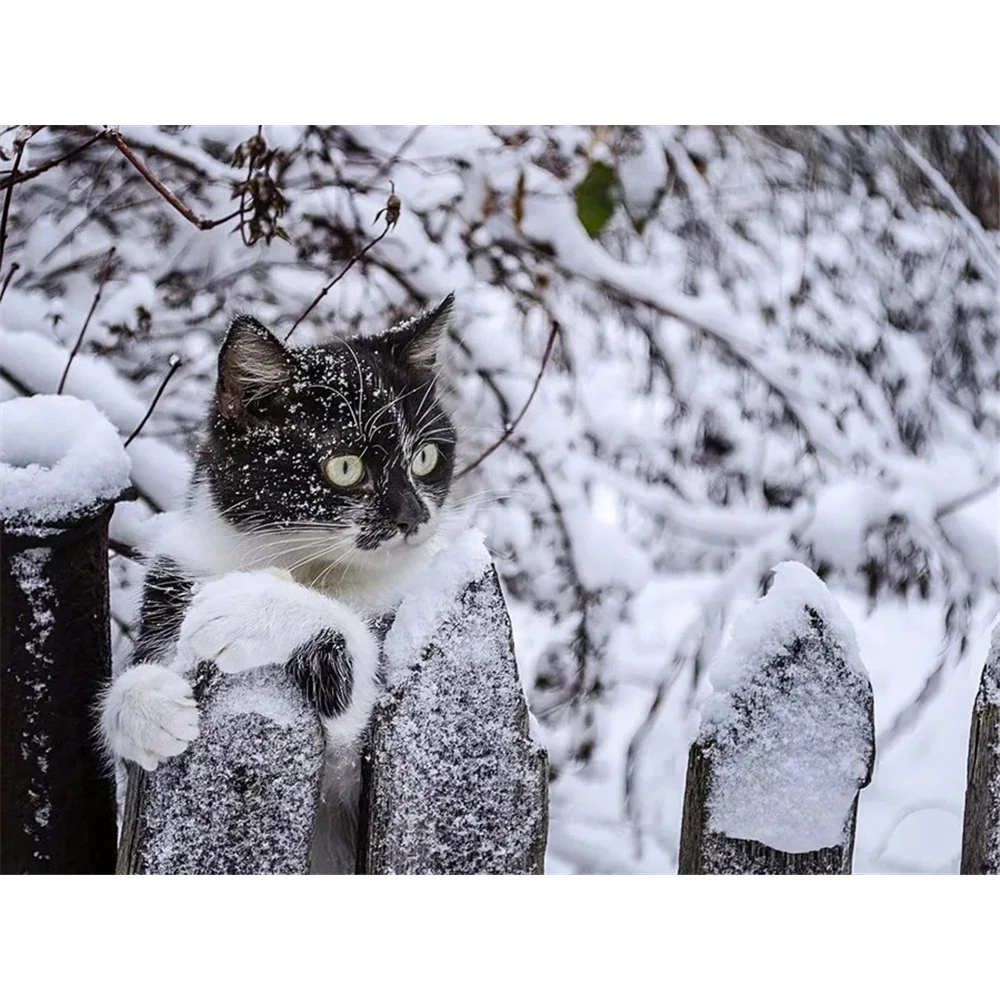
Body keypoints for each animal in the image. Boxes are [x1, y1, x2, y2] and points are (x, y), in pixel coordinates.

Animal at [99, 292, 458, 872]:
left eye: (425, 457)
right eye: (345, 467)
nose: (413, 517)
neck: (311, 567)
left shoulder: (358, 772)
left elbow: (358, 717)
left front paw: (250, 606)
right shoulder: (178, 575)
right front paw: (143, 705)